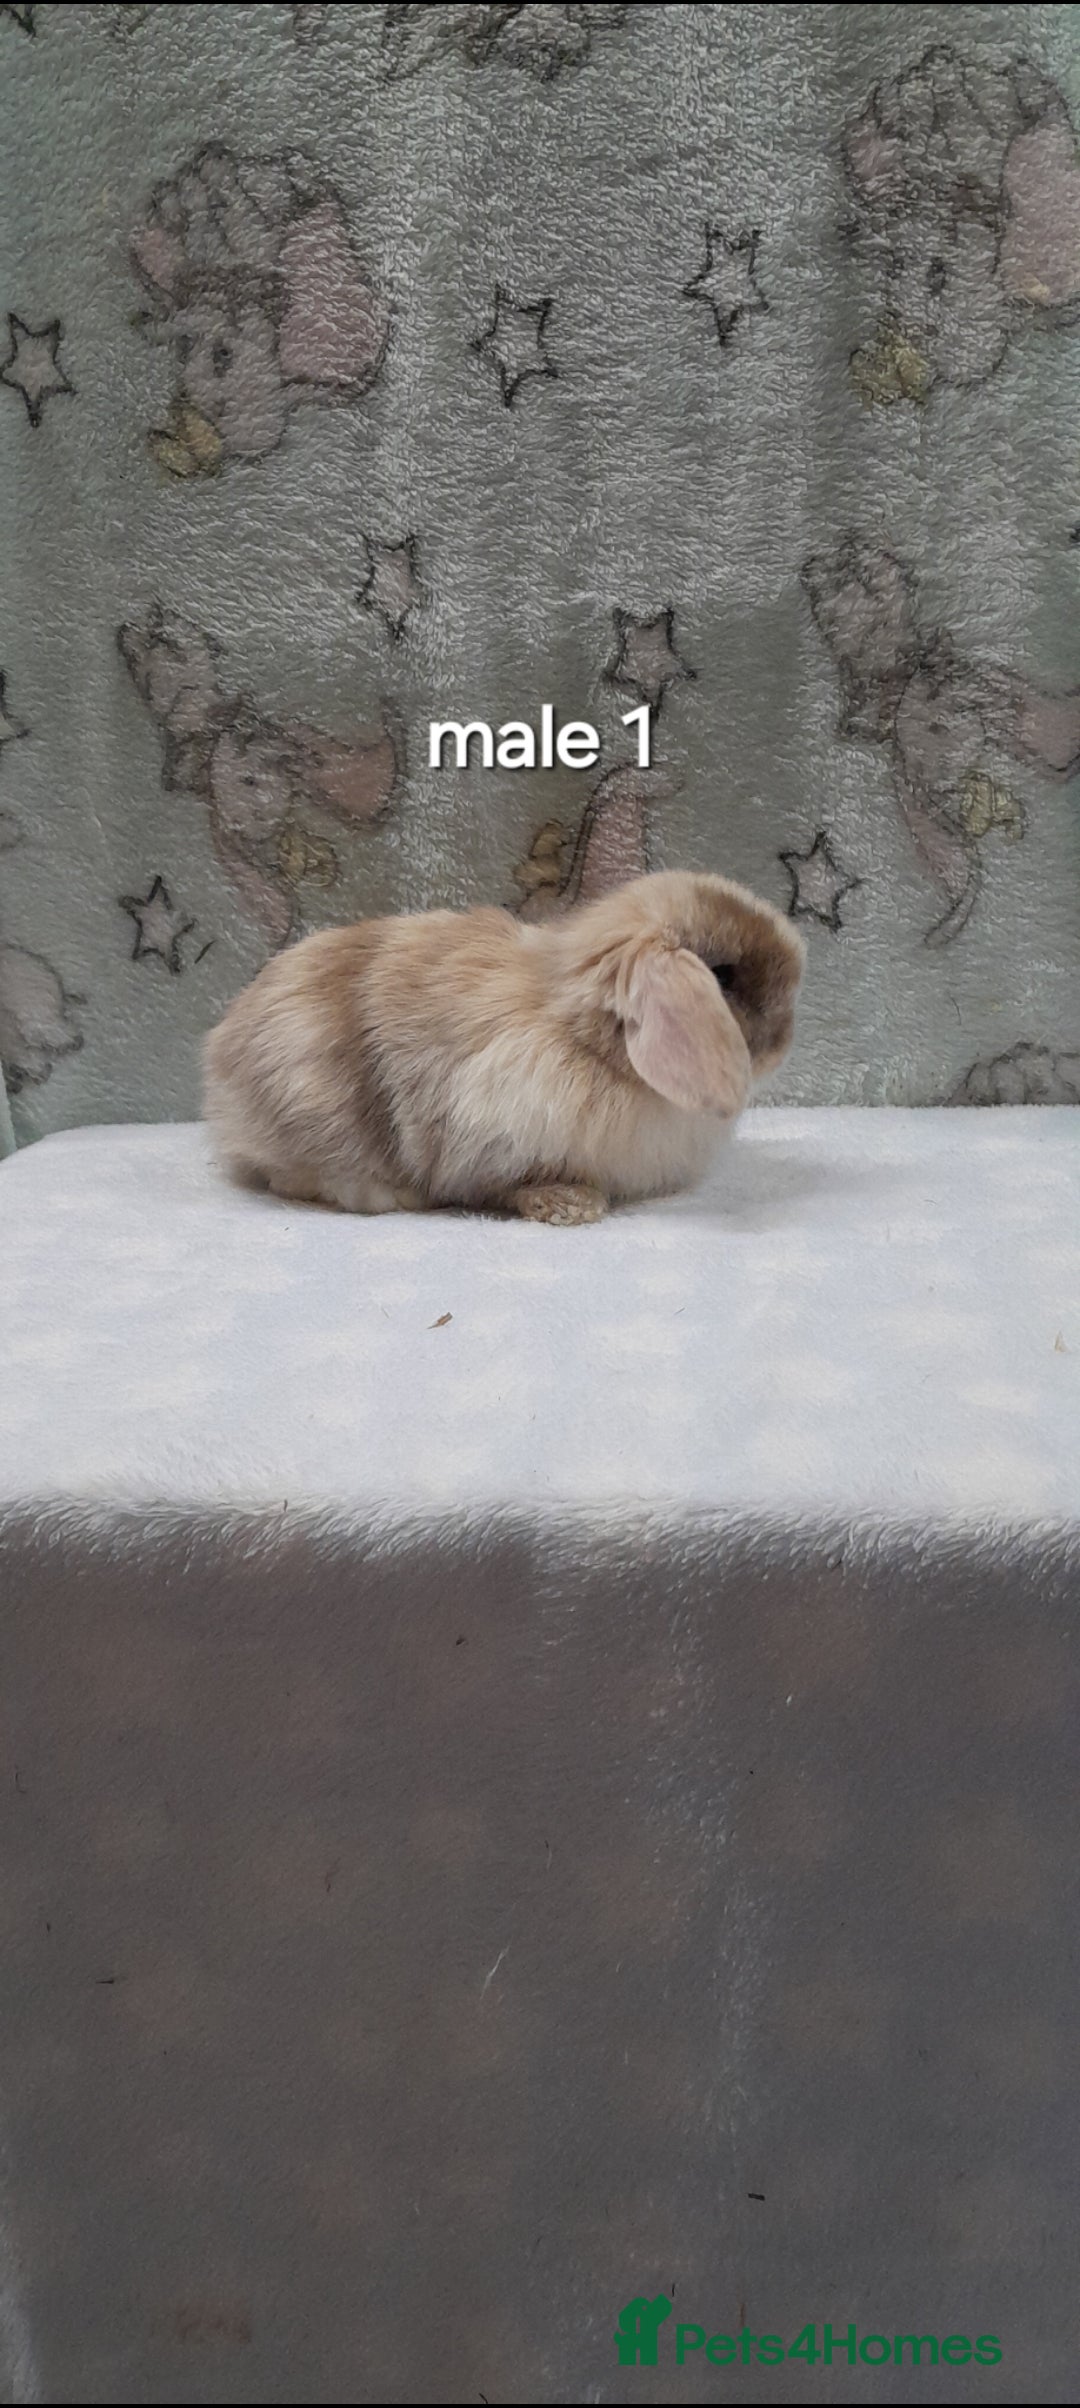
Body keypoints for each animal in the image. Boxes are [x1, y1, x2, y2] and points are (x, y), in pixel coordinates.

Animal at [203, 870, 804, 1224]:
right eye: (722, 977)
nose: (784, 1041)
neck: (583, 1037)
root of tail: (219, 1058)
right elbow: (514, 1185)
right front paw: (572, 1206)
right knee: (291, 1177)